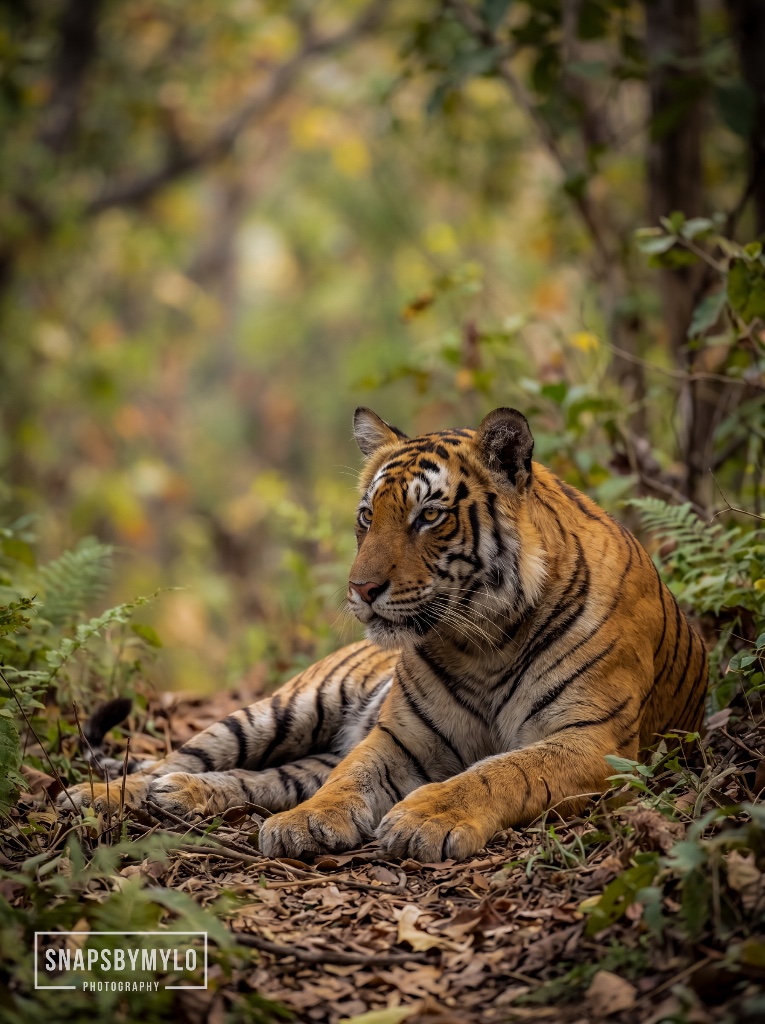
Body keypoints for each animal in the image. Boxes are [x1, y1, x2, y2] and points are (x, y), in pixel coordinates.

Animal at [58, 406, 709, 862]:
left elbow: (503, 771)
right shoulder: (401, 736)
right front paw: (308, 822)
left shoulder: (593, 742)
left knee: (256, 779)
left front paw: (426, 819)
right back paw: (95, 797)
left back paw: (180, 796)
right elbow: (353, 775)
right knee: (175, 760)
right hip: (281, 710)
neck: (487, 640)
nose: (361, 588)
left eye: (430, 516)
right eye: (369, 516)